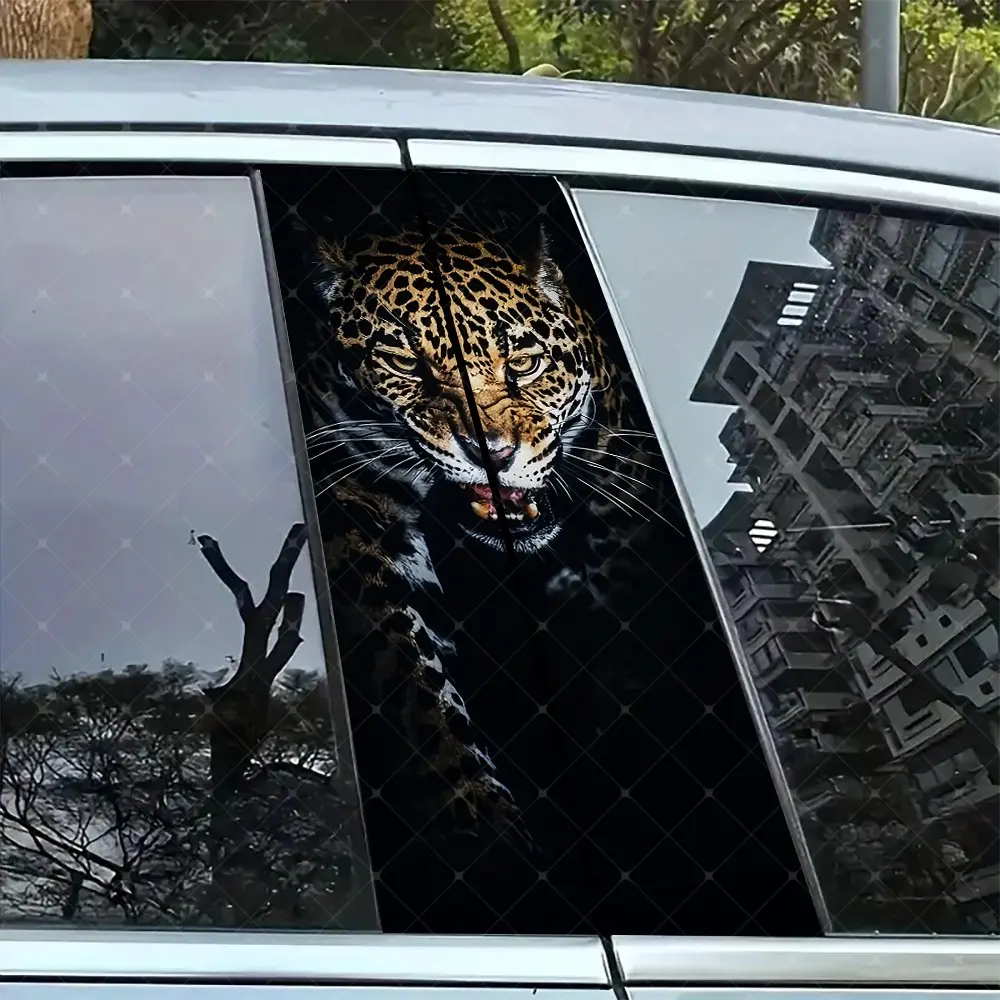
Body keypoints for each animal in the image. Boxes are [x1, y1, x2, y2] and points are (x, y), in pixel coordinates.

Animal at [297, 223, 670, 857]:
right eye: (405, 363)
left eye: (523, 362)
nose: (491, 454)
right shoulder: (355, 506)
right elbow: (416, 686)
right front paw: (485, 824)